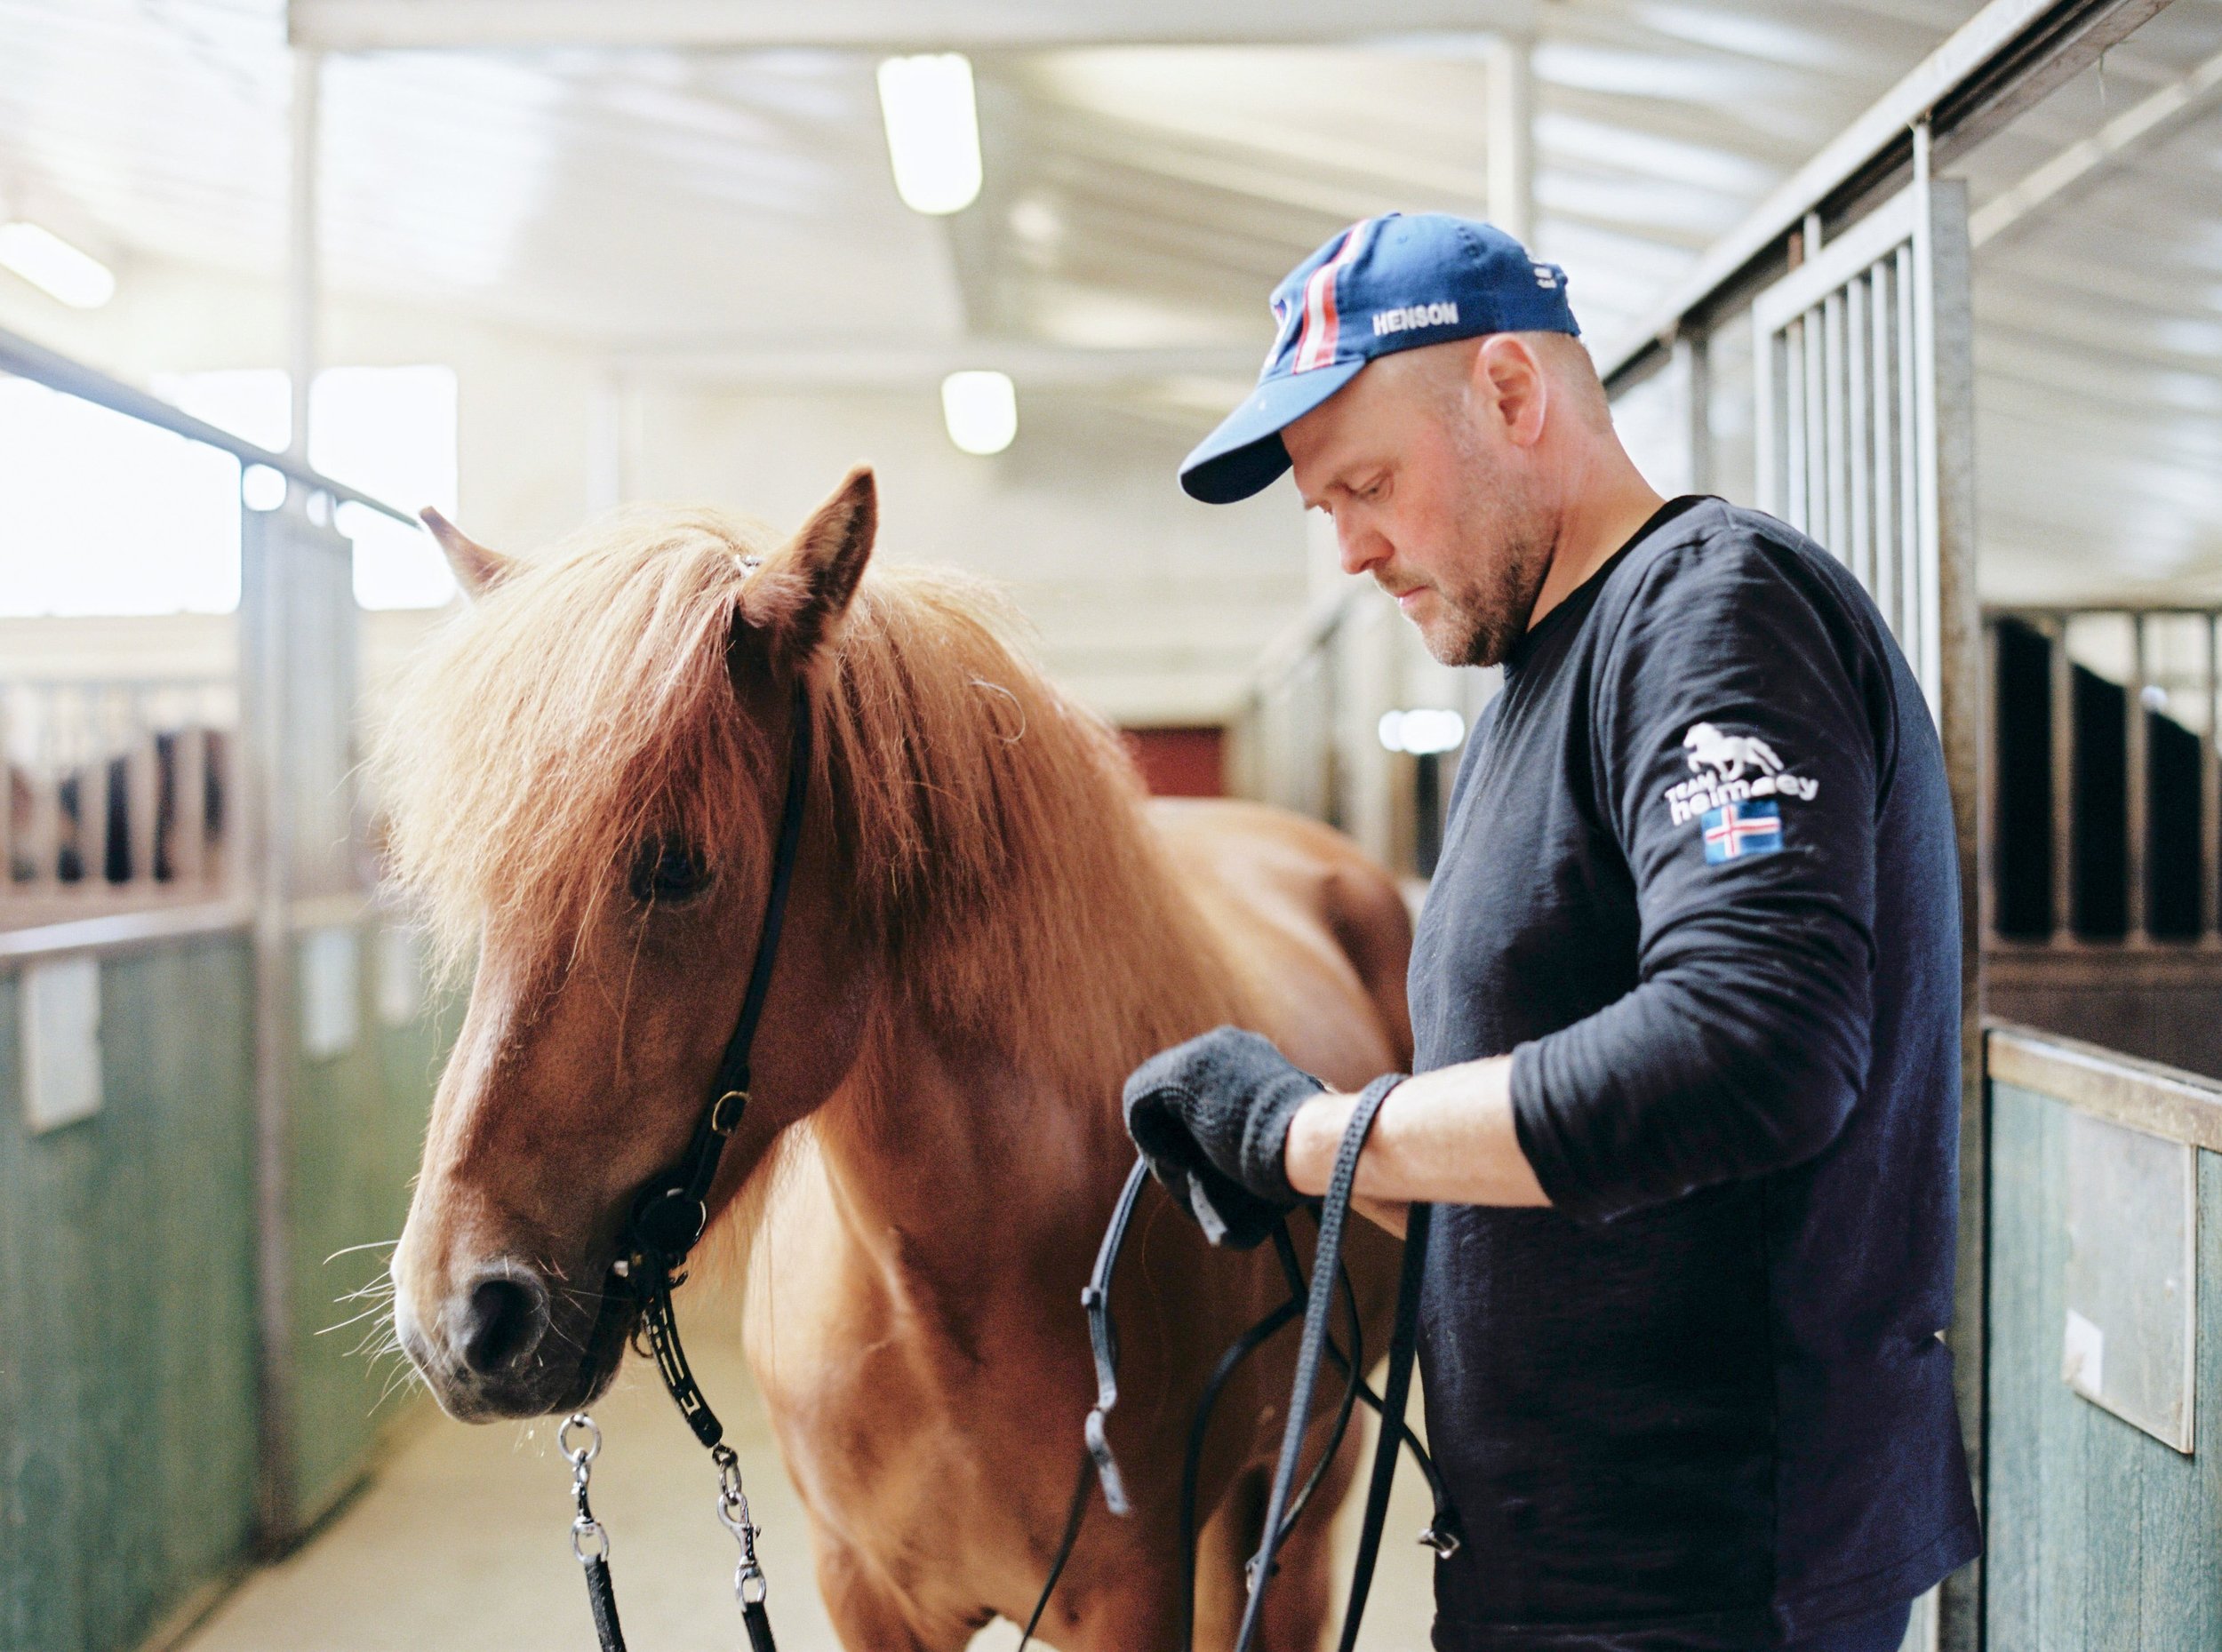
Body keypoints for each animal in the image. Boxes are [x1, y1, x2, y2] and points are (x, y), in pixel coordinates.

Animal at [380, 468, 1404, 1651]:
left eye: (674, 865)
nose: (458, 1320)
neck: (941, 1308)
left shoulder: (1134, 1597)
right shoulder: (862, 1591)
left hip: (1303, 1496)